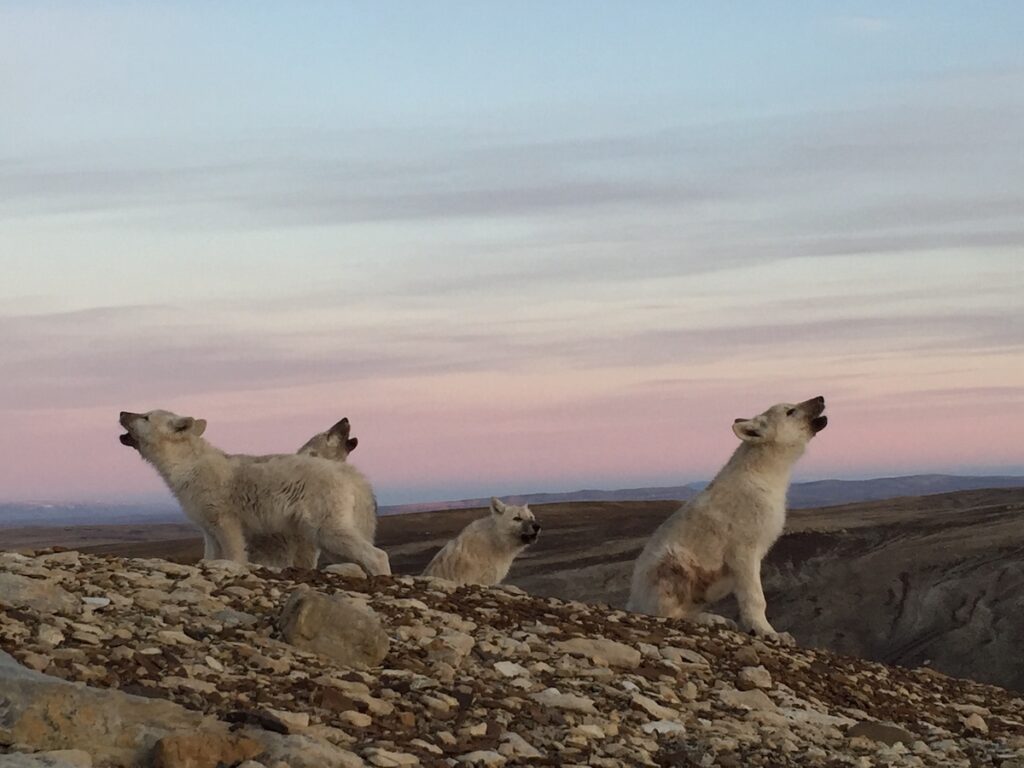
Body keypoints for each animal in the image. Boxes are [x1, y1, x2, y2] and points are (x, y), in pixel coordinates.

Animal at [118, 409, 390, 575]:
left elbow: (235, 556)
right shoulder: (208, 530)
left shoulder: (226, 523)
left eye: (145, 417)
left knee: (377, 555)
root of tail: (348, 472)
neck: (185, 466)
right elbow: (209, 557)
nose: (121, 413)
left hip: (328, 531)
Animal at [626, 396, 828, 643]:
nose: (821, 398)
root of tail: (632, 604)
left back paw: (716, 619)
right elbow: (756, 599)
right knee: (666, 612)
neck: (764, 475)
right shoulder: (744, 551)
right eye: (790, 411)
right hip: (674, 563)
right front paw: (768, 632)